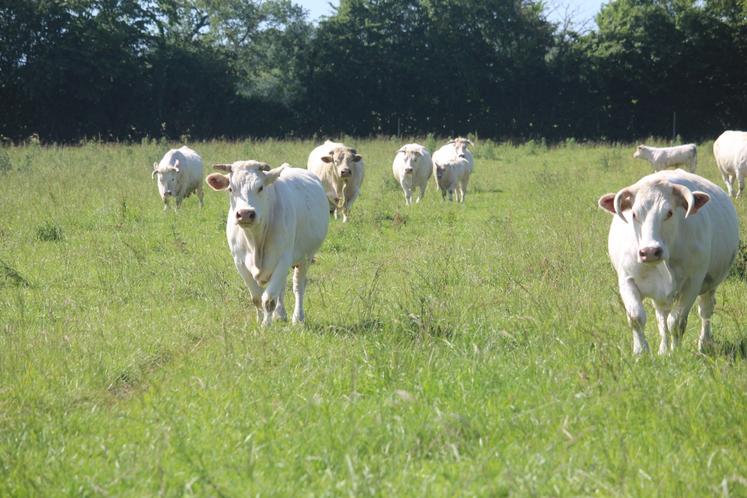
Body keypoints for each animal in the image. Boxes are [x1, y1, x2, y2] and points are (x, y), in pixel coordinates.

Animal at [206, 160, 329, 327]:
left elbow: (269, 299)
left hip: (305, 257)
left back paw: (298, 318)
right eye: (231, 188)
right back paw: (280, 314)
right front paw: (259, 320)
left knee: (298, 286)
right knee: (281, 288)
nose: (245, 214)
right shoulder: (239, 262)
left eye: (260, 187)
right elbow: (257, 298)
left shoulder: (284, 258)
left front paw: (266, 325)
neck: (255, 243)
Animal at [597, 169, 739, 355]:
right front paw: (641, 352)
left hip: (710, 285)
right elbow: (636, 317)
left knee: (705, 311)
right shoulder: (626, 280)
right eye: (634, 214)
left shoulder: (692, 283)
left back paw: (704, 343)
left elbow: (677, 322)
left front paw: (676, 352)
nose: (650, 252)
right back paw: (663, 350)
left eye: (669, 213)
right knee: (661, 318)